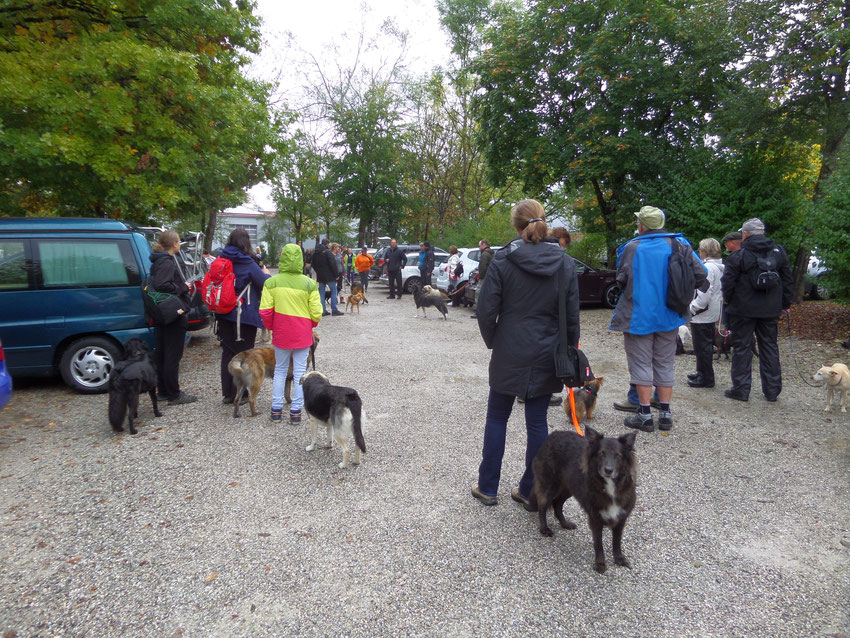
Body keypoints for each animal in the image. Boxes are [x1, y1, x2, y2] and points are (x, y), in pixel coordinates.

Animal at [528, 430, 636, 576]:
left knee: (557, 504)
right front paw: (600, 564)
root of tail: (553, 434)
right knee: (542, 506)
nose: (608, 470)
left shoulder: (621, 519)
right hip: (550, 485)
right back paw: (544, 529)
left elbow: (617, 542)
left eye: (618, 455)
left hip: (568, 488)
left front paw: (619, 559)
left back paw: (565, 524)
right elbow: (598, 544)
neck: (610, 487)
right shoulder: (595, 519)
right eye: (601, 454)